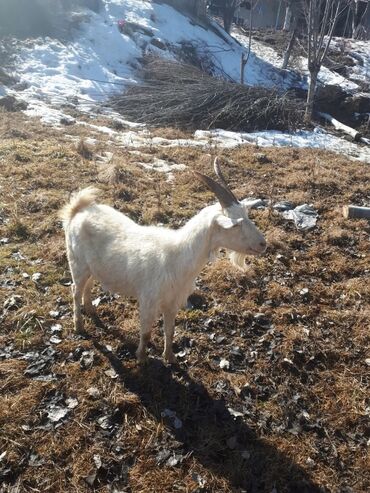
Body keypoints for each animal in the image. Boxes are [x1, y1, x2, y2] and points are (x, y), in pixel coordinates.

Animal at [60, 160, 266, 364]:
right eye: (236, 224)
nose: (263, 244)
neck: (177, 257)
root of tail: (78, 209)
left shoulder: (172, 302)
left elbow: (170, 331)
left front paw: (170, 357)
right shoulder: (148, 300)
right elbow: (146, 333)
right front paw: (142, 358)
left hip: (92, 267)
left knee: (88, 286)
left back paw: (91, 311)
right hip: (76, 263)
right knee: (75, 291)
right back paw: (79, 326)